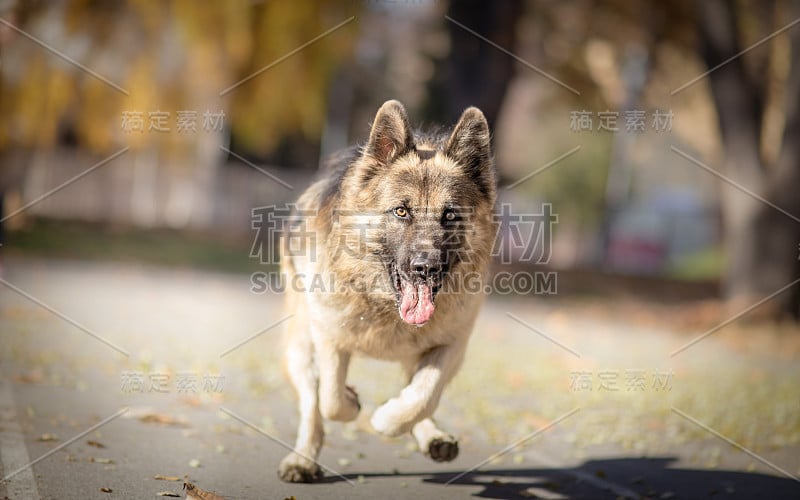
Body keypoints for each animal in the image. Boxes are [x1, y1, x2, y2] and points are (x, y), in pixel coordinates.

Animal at [278, 100, 496, 480]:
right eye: (401, 211)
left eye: (450, 216)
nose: (425, 268)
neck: (384, 307)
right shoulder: (329, 338)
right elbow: (330, 399)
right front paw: (352, 403)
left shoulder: (452, 344)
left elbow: (423, 395)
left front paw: (387, 420)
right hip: (300, 344)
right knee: (312, 402)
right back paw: (302, 458)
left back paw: (432, 437)